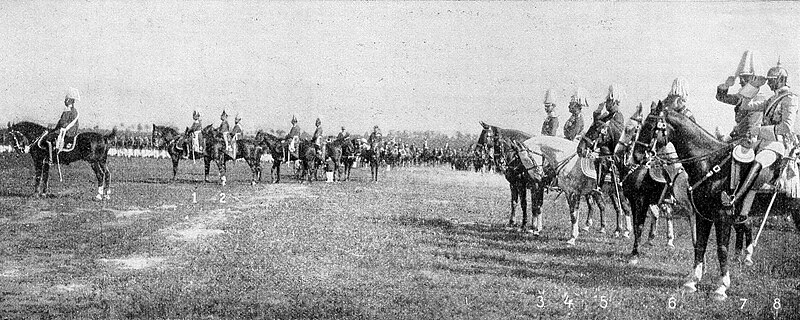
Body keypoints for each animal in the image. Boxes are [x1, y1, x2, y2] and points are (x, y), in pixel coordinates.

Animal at [636, 99, 800, 300]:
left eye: (651, 126)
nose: (635, 155)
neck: (709, 164)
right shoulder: (703, 215)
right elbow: (700, 245)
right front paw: (692, 281)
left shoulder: (722, 217)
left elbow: (721, 249)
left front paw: (722, 286)